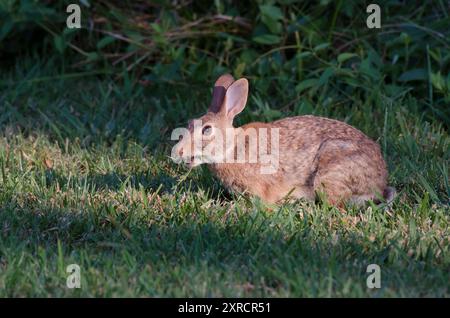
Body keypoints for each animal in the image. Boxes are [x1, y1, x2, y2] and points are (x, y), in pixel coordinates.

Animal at [172, 74, 394, 206]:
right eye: (190, 123)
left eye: (207, 130)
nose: (177, 152)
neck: (232, 148)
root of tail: (380, 180)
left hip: (330, 173)